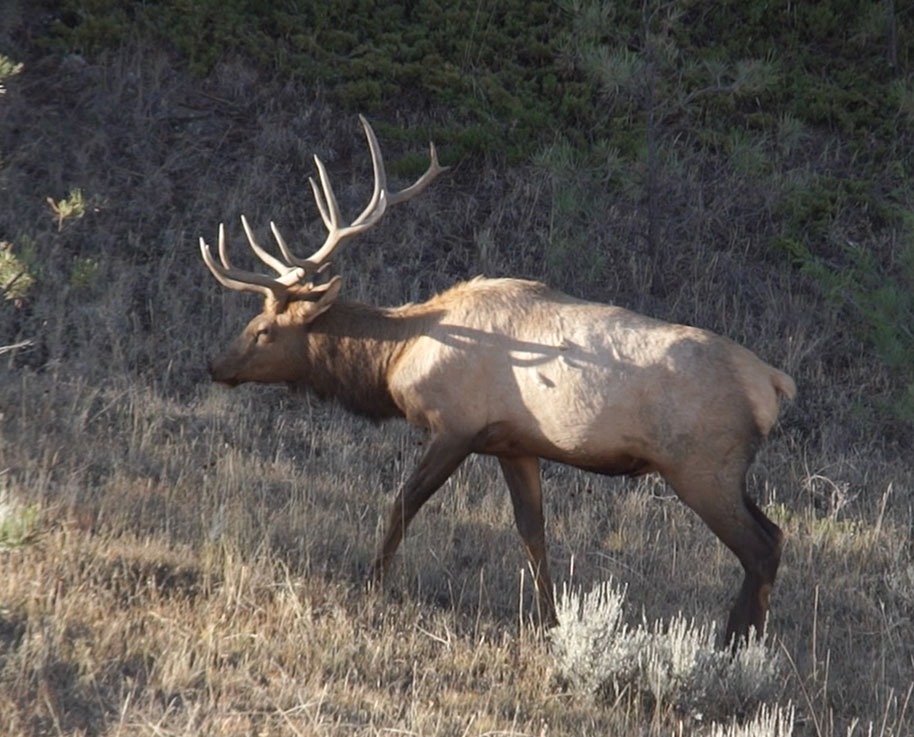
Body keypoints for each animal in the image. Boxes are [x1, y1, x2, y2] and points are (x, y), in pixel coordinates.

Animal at [198, 116, 792, 644]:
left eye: (264, 330)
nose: (215, 365)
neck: (398, 359)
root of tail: (773, 384)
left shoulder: (455, 427)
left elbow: (403, 502)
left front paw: (372, 581)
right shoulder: (514, 444)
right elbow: (533, 533)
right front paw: (550, 620)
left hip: (702, 467)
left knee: (760, 547)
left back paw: (736, 646)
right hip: (724, 471)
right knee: (776, 534)